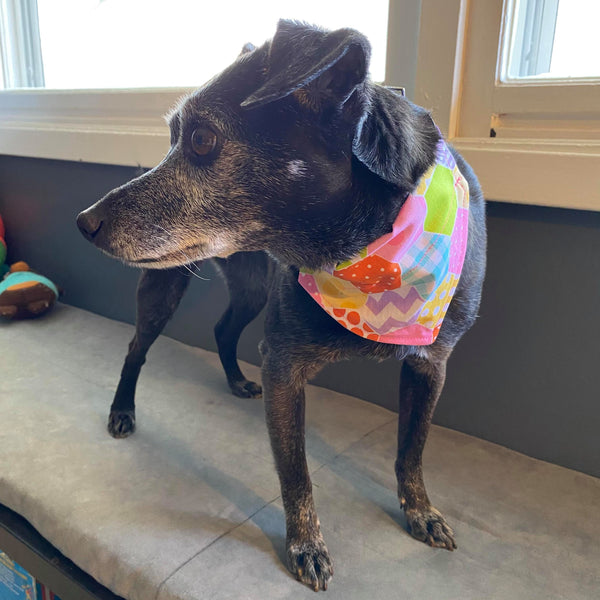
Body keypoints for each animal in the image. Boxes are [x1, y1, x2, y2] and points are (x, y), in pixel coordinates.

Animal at [76, 18, 488, 592]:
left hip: (251, 287)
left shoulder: (431, 364)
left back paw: (233, 380)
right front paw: (306, 544)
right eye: (173, 138)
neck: (363, 253)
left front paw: (421, 511)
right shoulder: (284, 366)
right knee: (137, 348)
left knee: (224, 330)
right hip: (164, 288)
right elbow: (297, 473)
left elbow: (412, 449)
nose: (84, 222)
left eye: (201, 139)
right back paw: (122, 411)